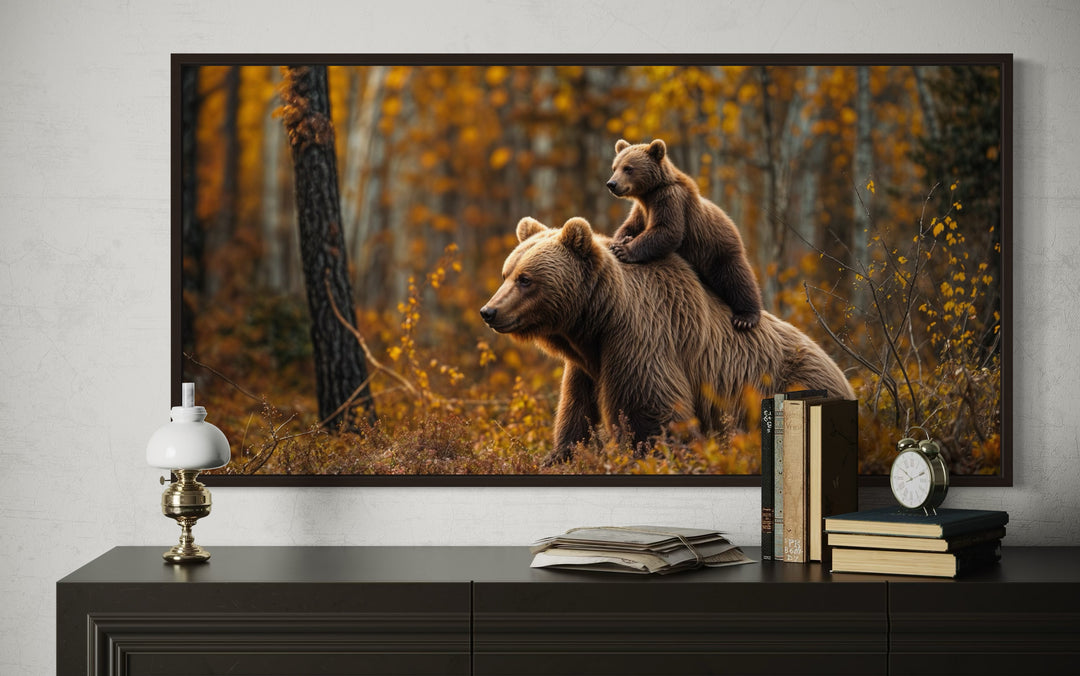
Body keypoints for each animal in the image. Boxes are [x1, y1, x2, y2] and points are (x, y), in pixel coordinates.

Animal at [480, 216, 854, 464]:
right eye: (506, 273)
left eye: (526, 279)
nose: (489, 311)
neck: (597, 321)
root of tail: (844, 376)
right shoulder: (587, 364)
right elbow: (576, 410)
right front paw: (560, 455)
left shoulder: (640, 340)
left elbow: (651, 410)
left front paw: (650, 455)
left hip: (788, 382)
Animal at [607, 138, 763, 331]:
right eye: (615, 167)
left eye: (628, 168)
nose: (612, 184)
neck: (649, 194)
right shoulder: (642, 210)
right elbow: (630, 226)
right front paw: (620, 240)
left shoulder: (671, 200)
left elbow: (667, 231)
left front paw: (623, 250)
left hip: (719, 251)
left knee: (737, 278)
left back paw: (746, 316)